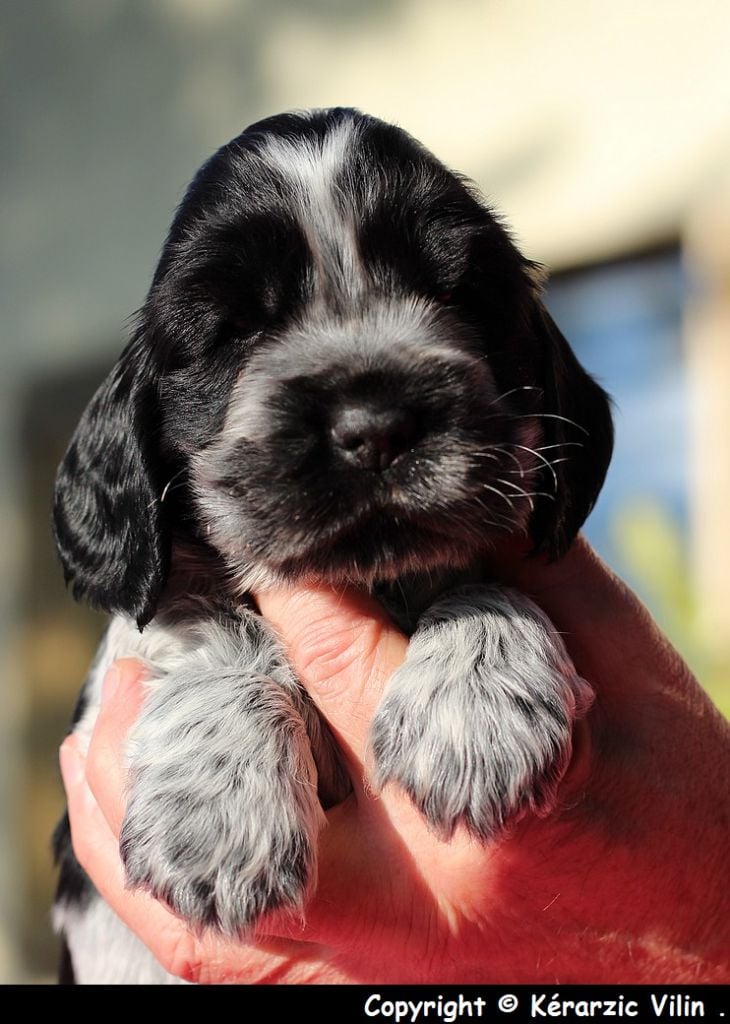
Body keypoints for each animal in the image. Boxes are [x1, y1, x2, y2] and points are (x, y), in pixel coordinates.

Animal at [52, 107, 613, 984]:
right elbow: (205, 622)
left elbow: (482, 579)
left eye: (455, 295)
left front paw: (476, 710)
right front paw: (216, 817)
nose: (374, 426)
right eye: (234, 330)